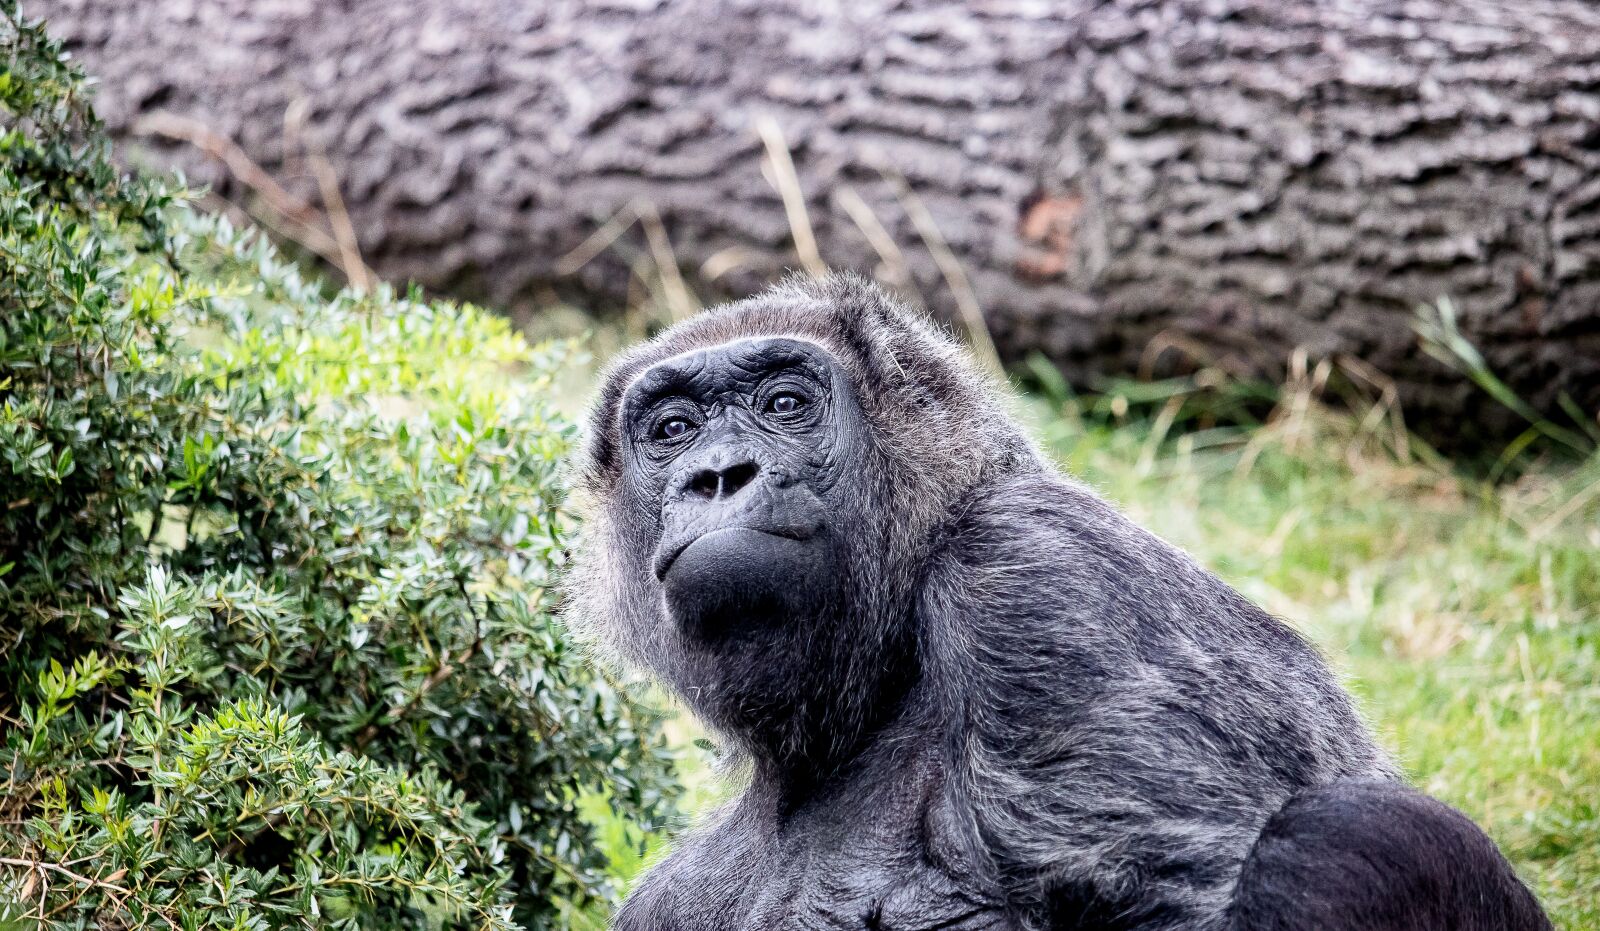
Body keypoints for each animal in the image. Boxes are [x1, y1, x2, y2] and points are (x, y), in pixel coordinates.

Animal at [565, 274, 1551, 931]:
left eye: (784, 403)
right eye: (673, 430)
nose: (716, 476)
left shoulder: (1037, 567)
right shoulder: (665, 900)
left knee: (1359, 835)